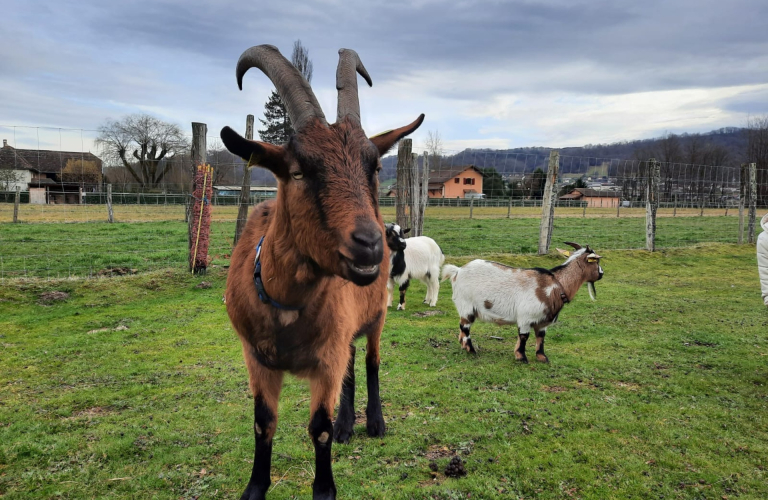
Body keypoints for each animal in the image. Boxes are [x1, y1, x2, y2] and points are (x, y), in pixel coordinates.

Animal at [219, 44, 424, 500]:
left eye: (374, 168)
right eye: (297, 171)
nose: (371, 243)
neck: (286, 307)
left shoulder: (327, 357)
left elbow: (320, 430)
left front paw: (326, 481)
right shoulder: (255, 357)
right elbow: (263, 424)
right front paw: (254, 488)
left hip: (376, 317)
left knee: (370, 361)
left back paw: (374, 423)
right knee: (351, 364)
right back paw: (350, 424)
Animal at [440, 241, 604, 360]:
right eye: (596, 262)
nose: (601, 273)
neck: (554, 285)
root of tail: (457, 271)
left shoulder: (543, 322)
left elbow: (541, 337)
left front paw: (542, 357)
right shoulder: (526, 317)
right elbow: (524, 336)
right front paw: (521, 357)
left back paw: (464, 346)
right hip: (466, 305)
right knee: (465, 327)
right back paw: (472, 350)